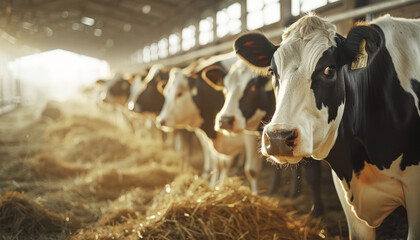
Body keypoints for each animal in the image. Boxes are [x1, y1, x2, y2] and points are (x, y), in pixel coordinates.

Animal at [158, 53, 262, 193]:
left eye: (179, 94)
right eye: (166, 93)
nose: (161, 120)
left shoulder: (252, 137)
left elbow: (252, 171)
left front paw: (256, 195)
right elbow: (218, 164)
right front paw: (217, 186)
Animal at [213, 59, 324, 218]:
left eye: (252, 87)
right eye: (225, 88)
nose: (225, 120)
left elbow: (313, 175)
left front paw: (316, 212)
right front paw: (272, 190)